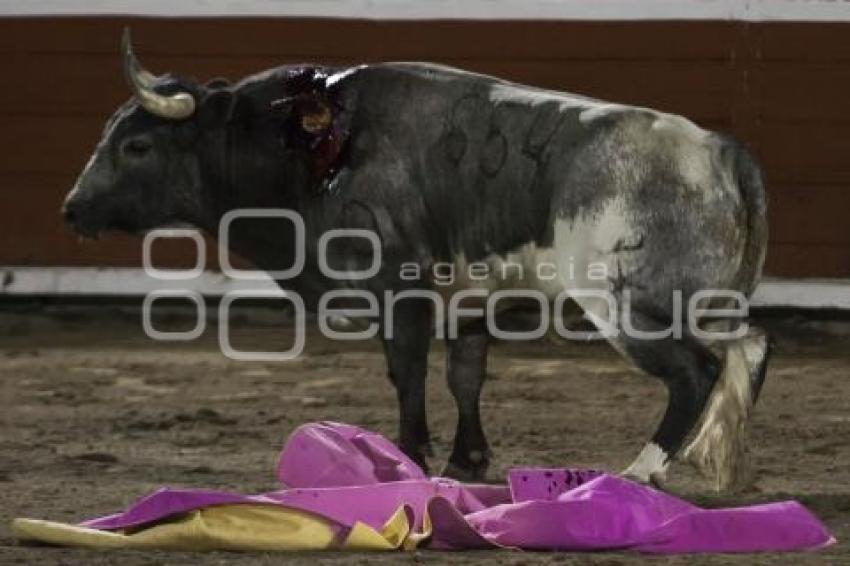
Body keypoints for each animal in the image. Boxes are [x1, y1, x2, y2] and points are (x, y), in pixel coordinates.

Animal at [63, 32, 772, 492]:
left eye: (136, 144)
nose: (72, 208)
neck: (307, 150)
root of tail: (717, 148)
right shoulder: (468, 300)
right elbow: (465, 377)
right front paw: (467, 461)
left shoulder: (396, 291)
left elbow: (407, 374)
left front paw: (408, 456)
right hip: (703, 300)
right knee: (750, 347)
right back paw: (724, 463)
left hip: (626, 304)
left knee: (695, 372)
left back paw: (642, 471)